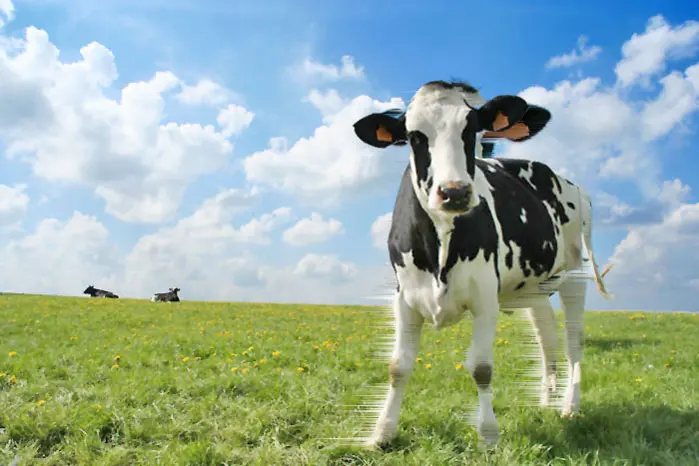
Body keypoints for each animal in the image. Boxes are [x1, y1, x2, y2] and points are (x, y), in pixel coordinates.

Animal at [352, 79, 616, 448]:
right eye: (415, 136)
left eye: (474, 130)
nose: (455, 192)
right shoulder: (404, 298)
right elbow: (398, 367)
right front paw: (382, 432)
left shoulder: (486, 299)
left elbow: (481, 368)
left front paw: (488, 434)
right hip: (535, 286)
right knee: (546, 334)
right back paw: (545, 400)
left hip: (575, 274)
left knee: (573, 342)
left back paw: (570, 406)